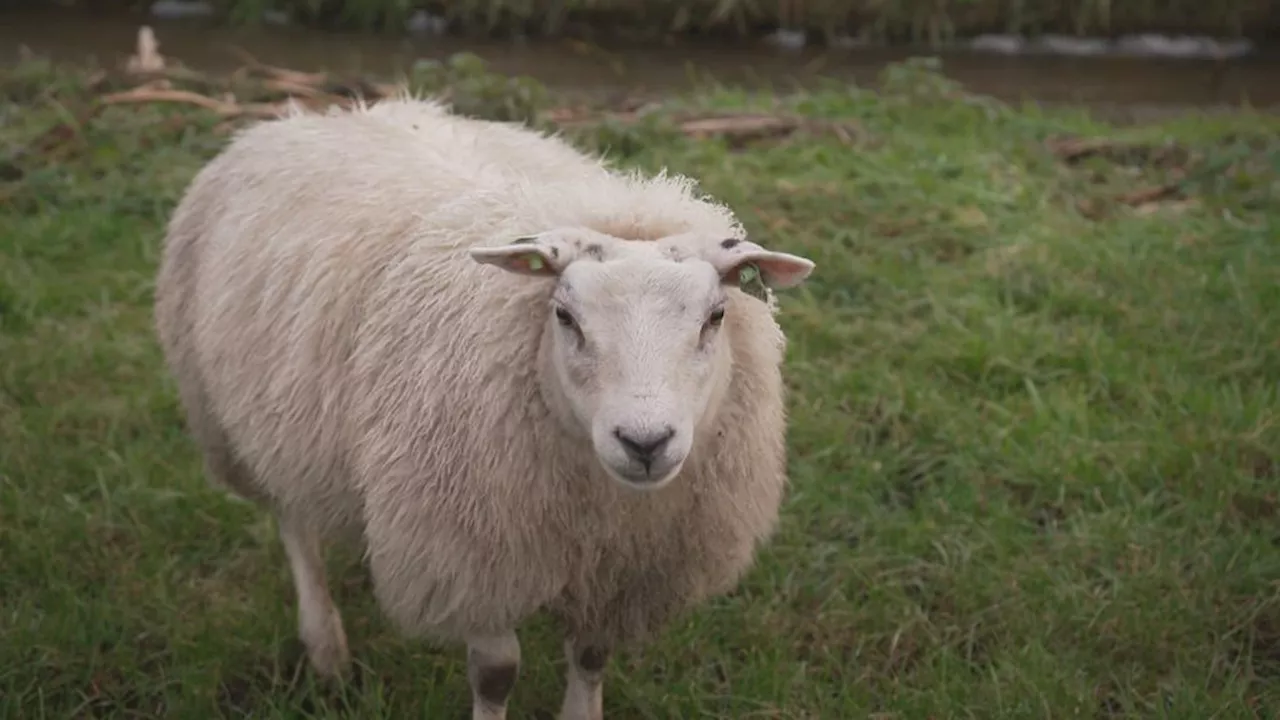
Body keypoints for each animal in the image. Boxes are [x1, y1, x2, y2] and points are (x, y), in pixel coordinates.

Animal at [154, 96, 814, 717]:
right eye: (564, 316)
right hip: (243, 420)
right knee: (293, 522)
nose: (645, 442)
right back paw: (325, 647)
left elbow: (591, 654)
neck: (602, 508)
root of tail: (318, 113)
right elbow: (496, 673)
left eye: (716, 316)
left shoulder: (619, 574)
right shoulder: (472, 552)